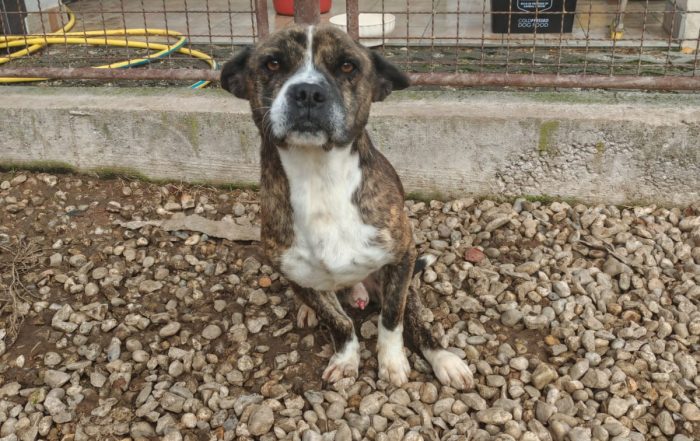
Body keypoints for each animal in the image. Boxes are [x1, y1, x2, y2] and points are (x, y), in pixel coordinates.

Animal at [220, 24, 473, 390]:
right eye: (272, 63)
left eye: (347, 66)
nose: (307, 93)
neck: (319, 178)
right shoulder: (296, 274)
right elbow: (339, 323)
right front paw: (346, 359)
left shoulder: (402, 258)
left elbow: (392, 320)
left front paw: (392, 362)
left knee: (415, 319)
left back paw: (444, 359)